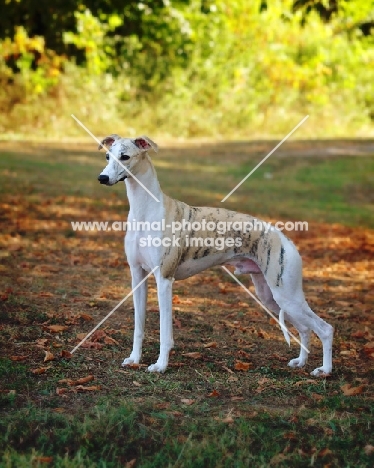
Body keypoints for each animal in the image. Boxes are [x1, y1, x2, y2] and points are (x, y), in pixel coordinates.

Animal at [96, 134, 334, 376]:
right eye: (107, 156)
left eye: (125, 156)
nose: (102, 178)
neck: (145, 212)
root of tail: (286, 240)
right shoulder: (137, 276)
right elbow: (138, 326)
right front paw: (134, 359)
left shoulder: (164, 279)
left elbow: (165, 332)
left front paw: (160, 365)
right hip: (271, 297)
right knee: (304, 328)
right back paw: (301, 362)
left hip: (287, 295)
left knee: (325, 328)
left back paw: (324, 370)